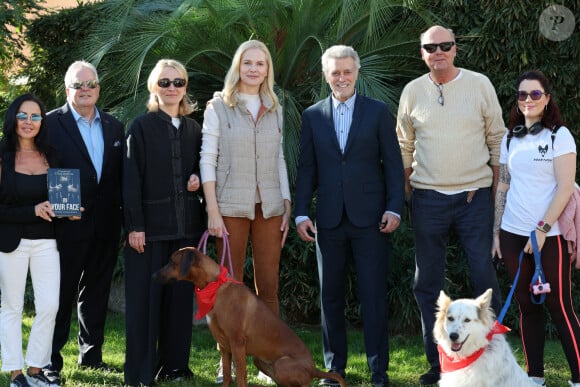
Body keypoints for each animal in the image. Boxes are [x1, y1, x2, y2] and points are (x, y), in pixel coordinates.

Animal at [152, 249, 346, 387]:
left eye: (172, 262)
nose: (153, 276)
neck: (214, 286)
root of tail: (314, 369)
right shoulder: (224, 346)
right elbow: (227, 377)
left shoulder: (237, 344)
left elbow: (241, 378)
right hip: (260, 360)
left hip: (282, 364)